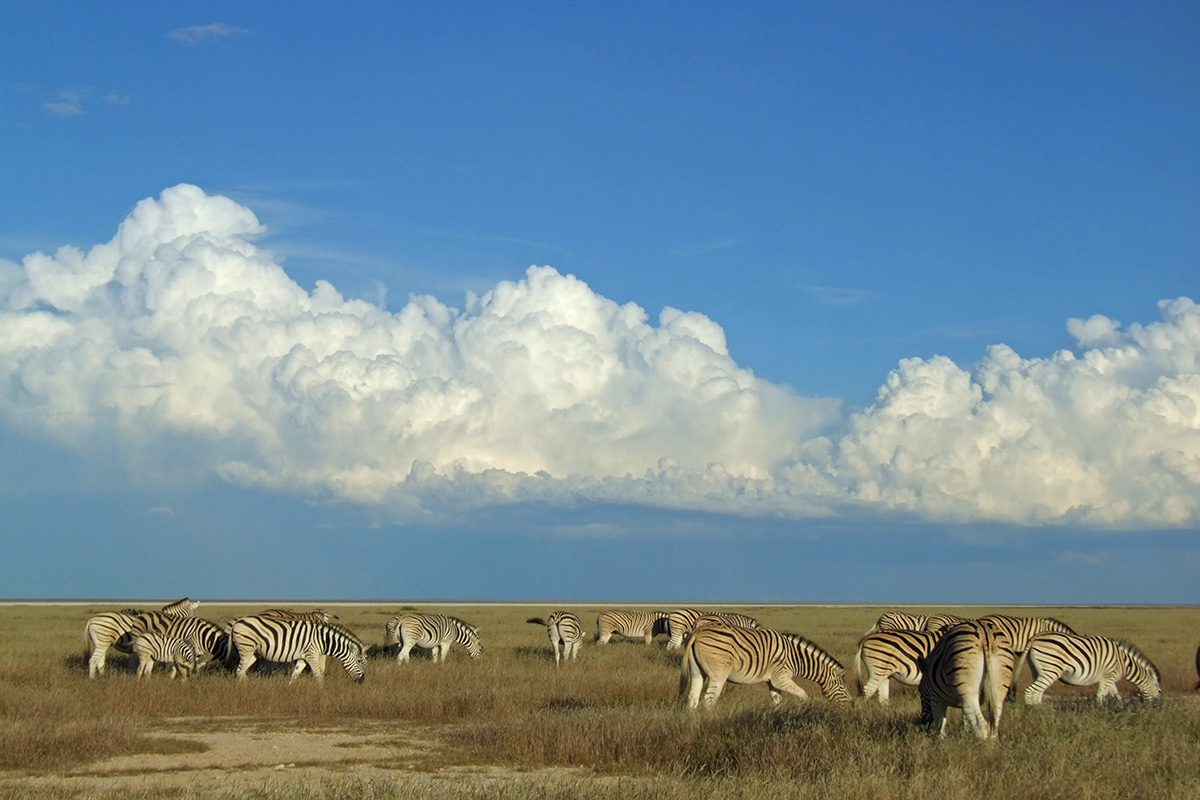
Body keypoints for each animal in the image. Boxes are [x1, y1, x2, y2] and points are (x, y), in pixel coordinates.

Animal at [229, 618, 364, 686]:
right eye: (359, 661)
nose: (362, 681)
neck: (323, 640)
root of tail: (237, 622)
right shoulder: (312, 655)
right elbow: (318, 675)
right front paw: (322, 692)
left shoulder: (303, 658)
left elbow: (295, 675)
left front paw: (289, 690)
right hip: (246, 647)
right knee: (239, 670)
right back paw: (245, 688)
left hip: (253, 652)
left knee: (242, 671)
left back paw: (249, 685)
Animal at [681, 623, 849, 710]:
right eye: (842, 688)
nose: (851, 704)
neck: (796, 658)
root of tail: (698, 631)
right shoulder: (781, 678)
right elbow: (804, 695)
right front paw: (804, 711)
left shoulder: (772, 681)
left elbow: (777, 701)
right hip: (718, 675)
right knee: (708, 700)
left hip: (697, 672)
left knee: (693, 698)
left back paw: (694, 724)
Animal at [1022, 633, 1161, 705]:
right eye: (1159, 691)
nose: (1156, 707)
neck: (1124, 662)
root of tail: (1035, 638)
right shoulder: (1108, 676)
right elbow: (1100, 696)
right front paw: (1098, 713)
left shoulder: (1110, 679)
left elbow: (1116, 695)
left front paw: (1120, 708)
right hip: (1051, 670)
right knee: (1030, 691)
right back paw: (1035, 713)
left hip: (1038, 671)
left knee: (1037, 693)